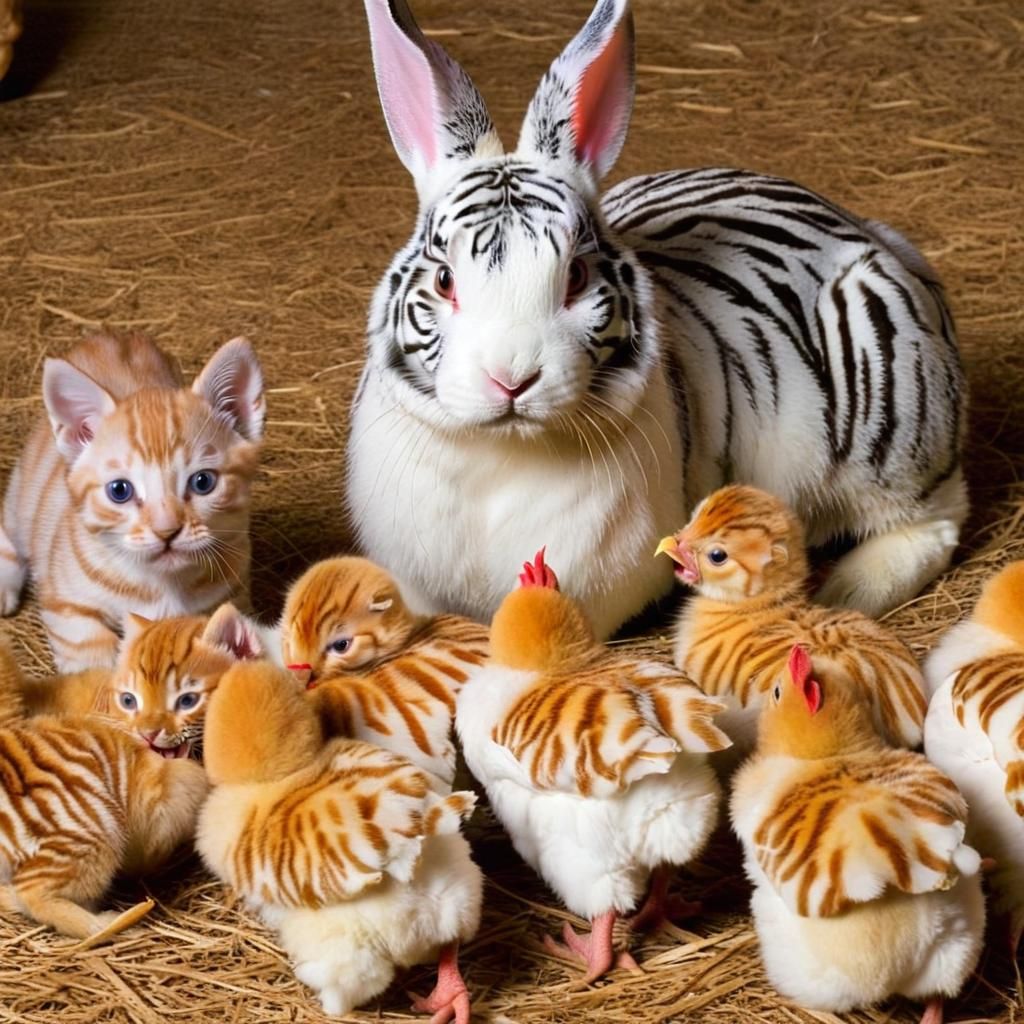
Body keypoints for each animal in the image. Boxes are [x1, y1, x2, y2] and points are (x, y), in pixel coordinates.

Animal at [347, 0, 966, 641]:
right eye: (445, 280)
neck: (501, 453)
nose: (511, 379)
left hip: (886, 428)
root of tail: (877, 239)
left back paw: (848, 589)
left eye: (576, 276)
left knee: (934, 520)